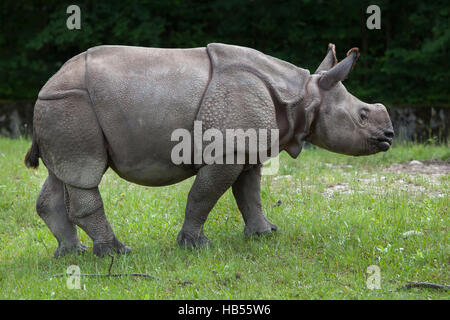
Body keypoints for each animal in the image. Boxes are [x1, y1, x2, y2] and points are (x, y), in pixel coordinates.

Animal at [24, 42, 392, 258]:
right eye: (362, 116)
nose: (389, 136)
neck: (303, 96)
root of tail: (46, 85)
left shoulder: (245, 149)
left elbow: (250, 194)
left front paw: (265, 234)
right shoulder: (226, 151)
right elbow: (204, 194)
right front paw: (195, 246)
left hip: (63, 108)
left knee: (64, 174)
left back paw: (72, 254)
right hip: (72, 104)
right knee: (85, 173)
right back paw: (115, 253)